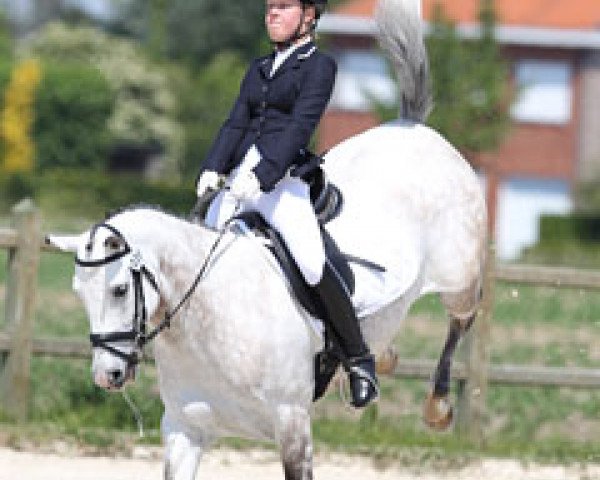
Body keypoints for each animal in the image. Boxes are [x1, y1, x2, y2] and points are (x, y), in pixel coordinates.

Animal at [47, 0, 488, 478]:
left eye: (119, 289)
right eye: (79, 293)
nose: (105, 376)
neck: (207, 319)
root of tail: (413, 128)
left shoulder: (292, 424)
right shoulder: (184, 428)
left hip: (459, 278)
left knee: (464, 318)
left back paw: (435, 404)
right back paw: (380, 358)